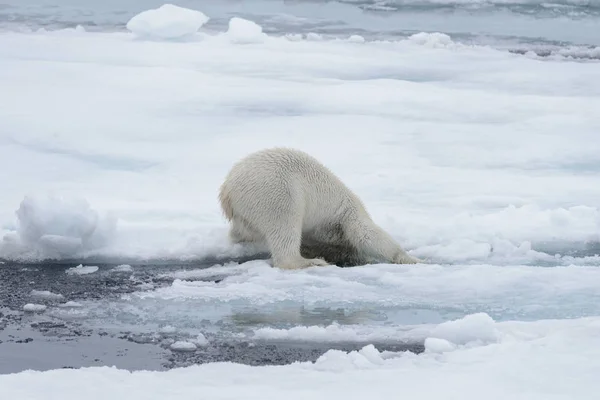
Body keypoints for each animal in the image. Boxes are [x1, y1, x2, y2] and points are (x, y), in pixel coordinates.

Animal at [218, 147, 420, 268]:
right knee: (285, 225)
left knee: (243, 230)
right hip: (276, 190)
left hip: (244, 209)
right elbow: (368, 235)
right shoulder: (348, 215)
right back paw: (311, 262)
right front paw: (410, 258)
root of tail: (227, 188)